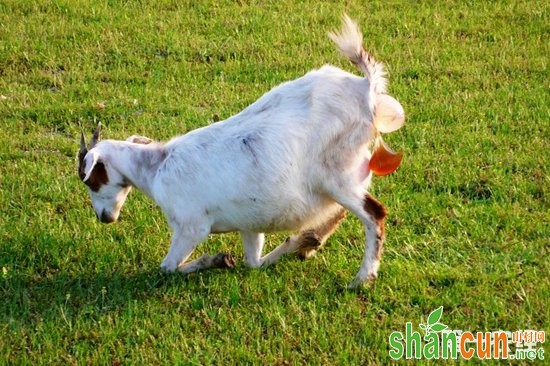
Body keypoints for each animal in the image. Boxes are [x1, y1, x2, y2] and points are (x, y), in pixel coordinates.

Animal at [78, 15, 406, 288]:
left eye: (90, 179)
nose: (104, 217)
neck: (156, 167)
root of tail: (366, 91)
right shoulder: (249, 223)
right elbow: (254, 262)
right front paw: (298, 242)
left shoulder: (191, 225)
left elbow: (168, 267)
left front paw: (217, 260)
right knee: (341, 211)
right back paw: (314, 244)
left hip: (337, 173)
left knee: (374, 214)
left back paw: (362, 279)